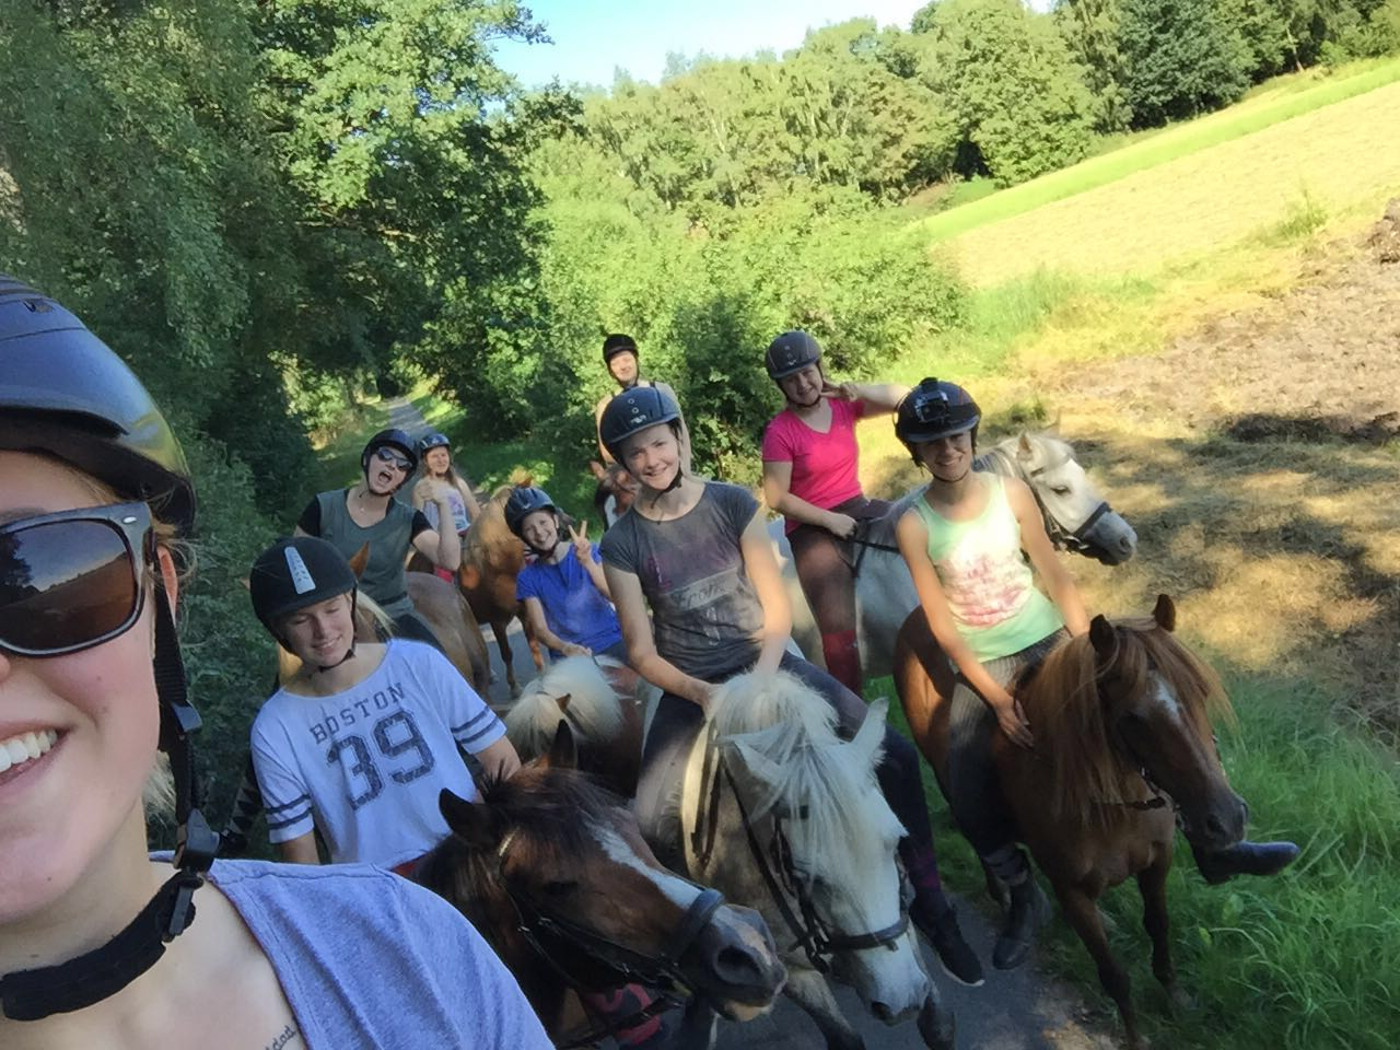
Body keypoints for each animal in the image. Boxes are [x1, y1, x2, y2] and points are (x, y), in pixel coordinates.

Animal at [681, 672, 955, 1050]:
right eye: (804, 874)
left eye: (897, 843)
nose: (901, 1000)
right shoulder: (785, 967)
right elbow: (844, 1038)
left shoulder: (900, 919)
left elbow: (938, 1025)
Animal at [894, 595, 1246, 1049]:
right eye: (1134, 718)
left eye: (1200, 691)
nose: (1227, 819)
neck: (1113, 807)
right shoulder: (1072, 890)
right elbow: (1113, 974)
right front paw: (1135, 1038)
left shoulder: (1158, 862)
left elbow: (1159, 927)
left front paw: (1176, 995)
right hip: (948, 777)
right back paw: (1009, 903)